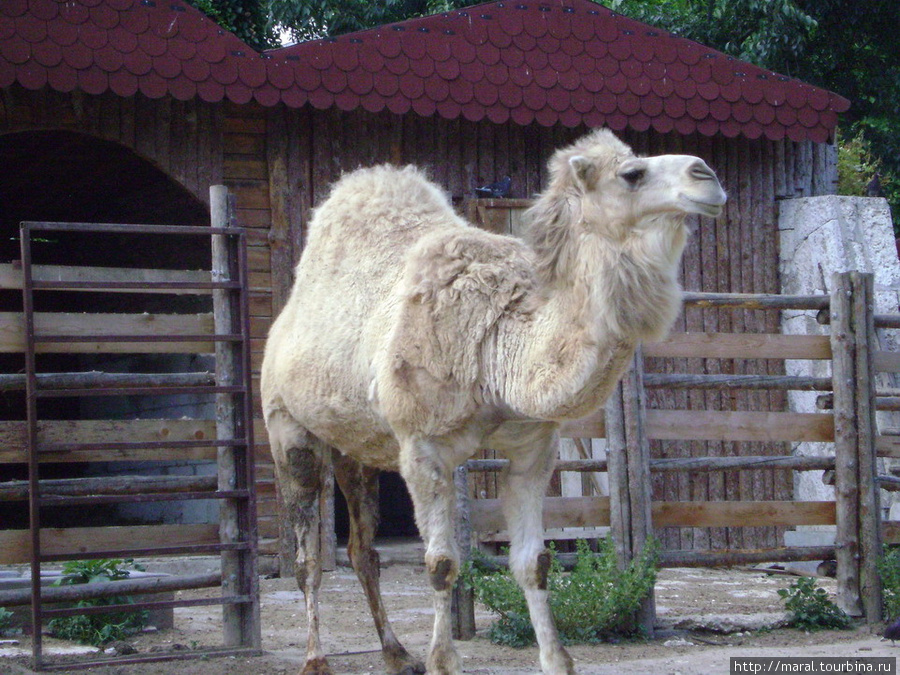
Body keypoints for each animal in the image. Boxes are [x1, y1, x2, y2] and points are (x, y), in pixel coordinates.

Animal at [260, 128, 724, 675]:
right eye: (632, 174)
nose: (707, 175)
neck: (498, 352)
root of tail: (283, 321)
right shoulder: (422, 447)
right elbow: (441, 564)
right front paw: (443, 661)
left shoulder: (533, 446)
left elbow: (534, 563)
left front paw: (557, 660)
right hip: (288, 427)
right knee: (308, 554)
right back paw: (316, 659)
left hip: (359, 447)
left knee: (361, 549)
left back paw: (397, 653)